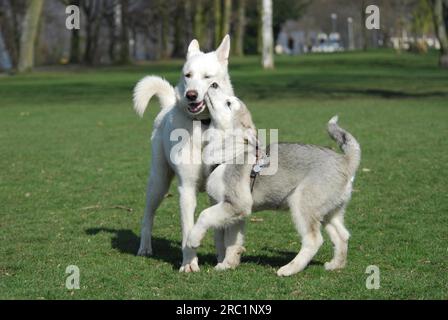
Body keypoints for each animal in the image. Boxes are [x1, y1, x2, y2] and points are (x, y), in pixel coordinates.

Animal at [133, 37, 245, 272]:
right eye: (188, 75)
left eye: (209, 79)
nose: (190, 95)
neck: (203, 126)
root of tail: (166, 107)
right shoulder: (186, 190)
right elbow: (187, 231)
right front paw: (189, 264)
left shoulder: (217, 192)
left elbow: (218, 231)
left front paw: (222, 258)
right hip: (158, 183)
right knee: (148, 216)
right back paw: (145, 247)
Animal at [186, 85, 360, 278]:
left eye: (229, 103)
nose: (214, 84)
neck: (229, 152)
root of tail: (344, 160)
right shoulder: (235, 212)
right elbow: (232, 242)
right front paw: (227, 265)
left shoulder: (236, 204)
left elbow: (204, 215)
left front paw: (193, 240)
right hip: (329, 211)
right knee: (342, 235)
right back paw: (336, 265)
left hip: (301, 204)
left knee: (314, 240)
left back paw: (289, 269)